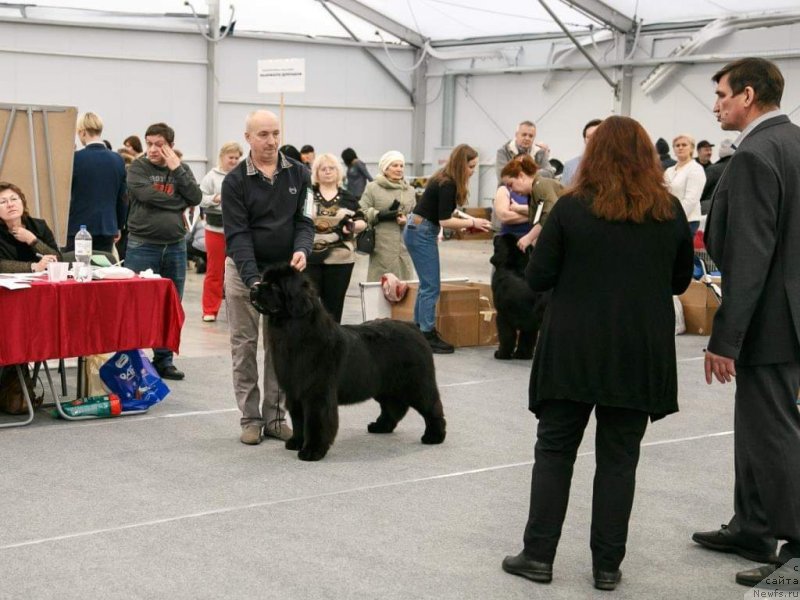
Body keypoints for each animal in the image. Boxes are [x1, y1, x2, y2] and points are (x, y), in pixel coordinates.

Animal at [250, 264, 446, 462]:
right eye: (263, 280)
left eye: (275, 286)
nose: (253, 288)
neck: (294, 333)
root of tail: (413, 327)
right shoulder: (294, 391)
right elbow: (299, 420)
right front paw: (296, 442)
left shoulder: (317, 394)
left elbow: (316, 422)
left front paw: (312, 451)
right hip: (384, 386)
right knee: (393, 407)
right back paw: (380, 426)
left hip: (416, 385)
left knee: (432, 407)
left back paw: (434, 436)